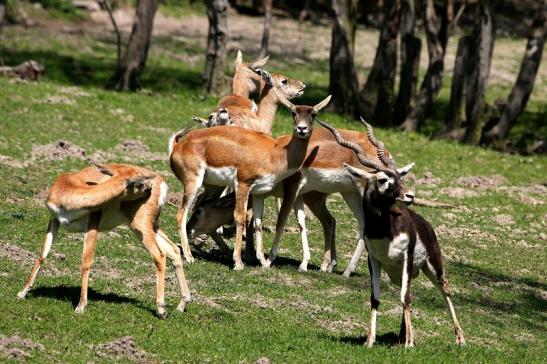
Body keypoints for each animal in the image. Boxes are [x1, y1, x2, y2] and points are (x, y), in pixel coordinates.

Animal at [17, 161, 192, 318]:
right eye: (138, 181)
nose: (149, 187)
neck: (68, 189)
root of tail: (162, 183)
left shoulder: (93, 222)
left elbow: (86, 261)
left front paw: (81, 306)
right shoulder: (54, 219)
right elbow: (43, 254)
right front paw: (22, 292)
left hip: (141, 225)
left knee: (160, 255)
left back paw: (161, 309)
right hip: (149, 226)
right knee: (174, 250)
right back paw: (182, 304)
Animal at [168, 94, 330, 270]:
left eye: (313, 114)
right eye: (293, 112)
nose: (302, 129)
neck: (275, 154)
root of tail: (177, 146)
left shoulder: (258, 192)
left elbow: (257, 222)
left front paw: (263, 261)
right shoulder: (243, 184)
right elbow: (240, 218)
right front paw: (238, 262)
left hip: (213, 186)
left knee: (201, 205)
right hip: (193, 183)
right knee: (181, 214)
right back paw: (189, 256)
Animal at [186, 119, 396, 276]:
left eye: (199, 211)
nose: (190, 232)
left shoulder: (291, 190)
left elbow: (278, 219)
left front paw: (265, 259)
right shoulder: (292, 196)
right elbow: (293, 222)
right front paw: (301, 263)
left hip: (357, 194)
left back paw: (346, 271)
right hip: (344, 194)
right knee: (334, 222)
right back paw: (329, 266)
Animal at [328, 127, 464, 346]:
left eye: (401, 177)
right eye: (383, 180)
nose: (410, 195)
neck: (385, 232)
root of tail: (426, 224)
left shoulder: (407, 257)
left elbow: (404, 298)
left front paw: (409, 343)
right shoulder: (374, 260)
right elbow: (376, 298)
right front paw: (370, 341)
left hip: (432, 267)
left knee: (445, 290)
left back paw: (459, 338)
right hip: (398, 273)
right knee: (409, 293)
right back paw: (403, 334)